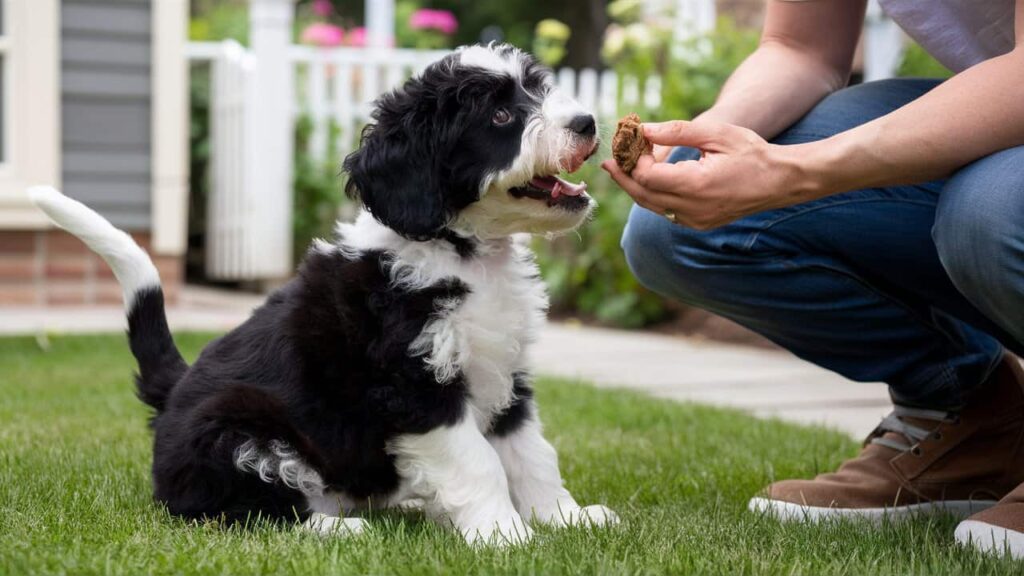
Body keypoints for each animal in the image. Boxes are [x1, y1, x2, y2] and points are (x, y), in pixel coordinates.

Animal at [28, 43, 614, 541]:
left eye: (536, 88)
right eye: (499, 117)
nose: (587, 123)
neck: (462, 251)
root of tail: (174, 392)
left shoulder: (507, 373)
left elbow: (531, 454)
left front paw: (564, 518)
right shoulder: (414, 384)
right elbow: (480, 460)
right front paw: (504, 535)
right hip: (235, 434)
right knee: (242, 511)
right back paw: (341, 527)